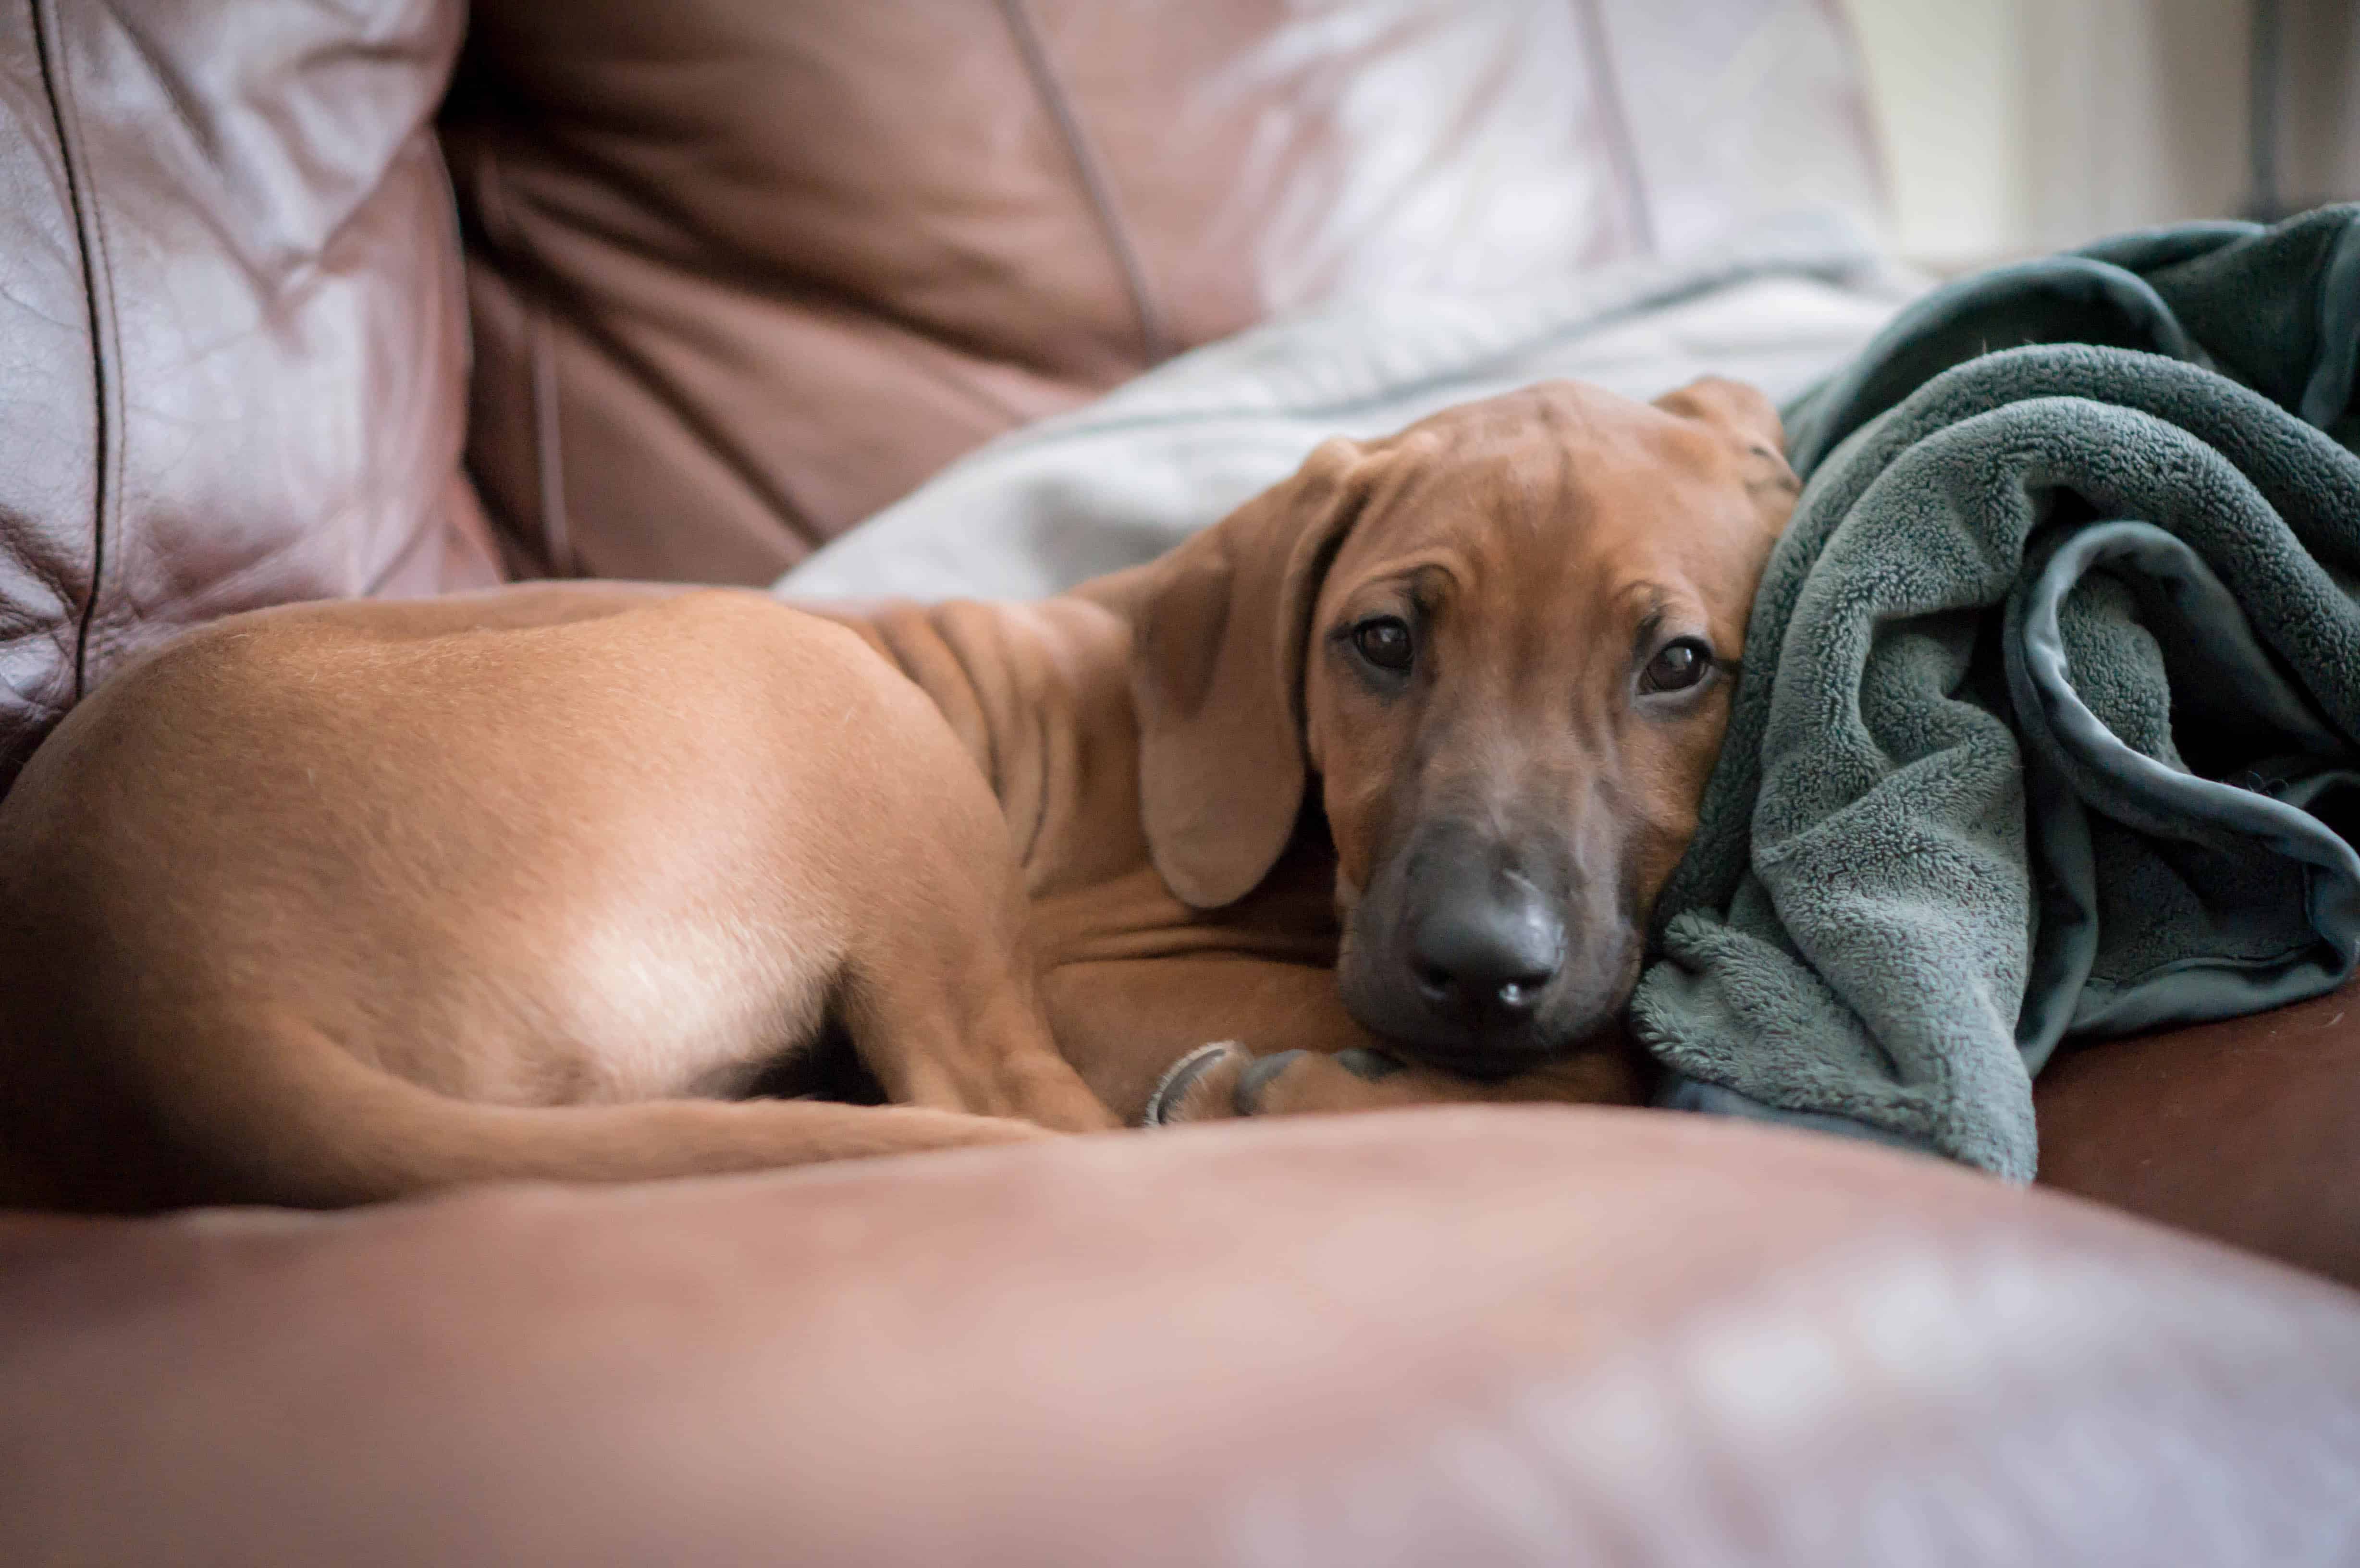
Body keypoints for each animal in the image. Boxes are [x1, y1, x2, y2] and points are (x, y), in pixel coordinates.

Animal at [0, 380, 1784, 1209]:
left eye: (1676, 666)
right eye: (1383, 641)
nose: (1478, 968)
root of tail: (168, 993)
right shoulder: (1093, 976)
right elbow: (1601, 1069)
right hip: (834, 701)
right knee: (1033, 1113)